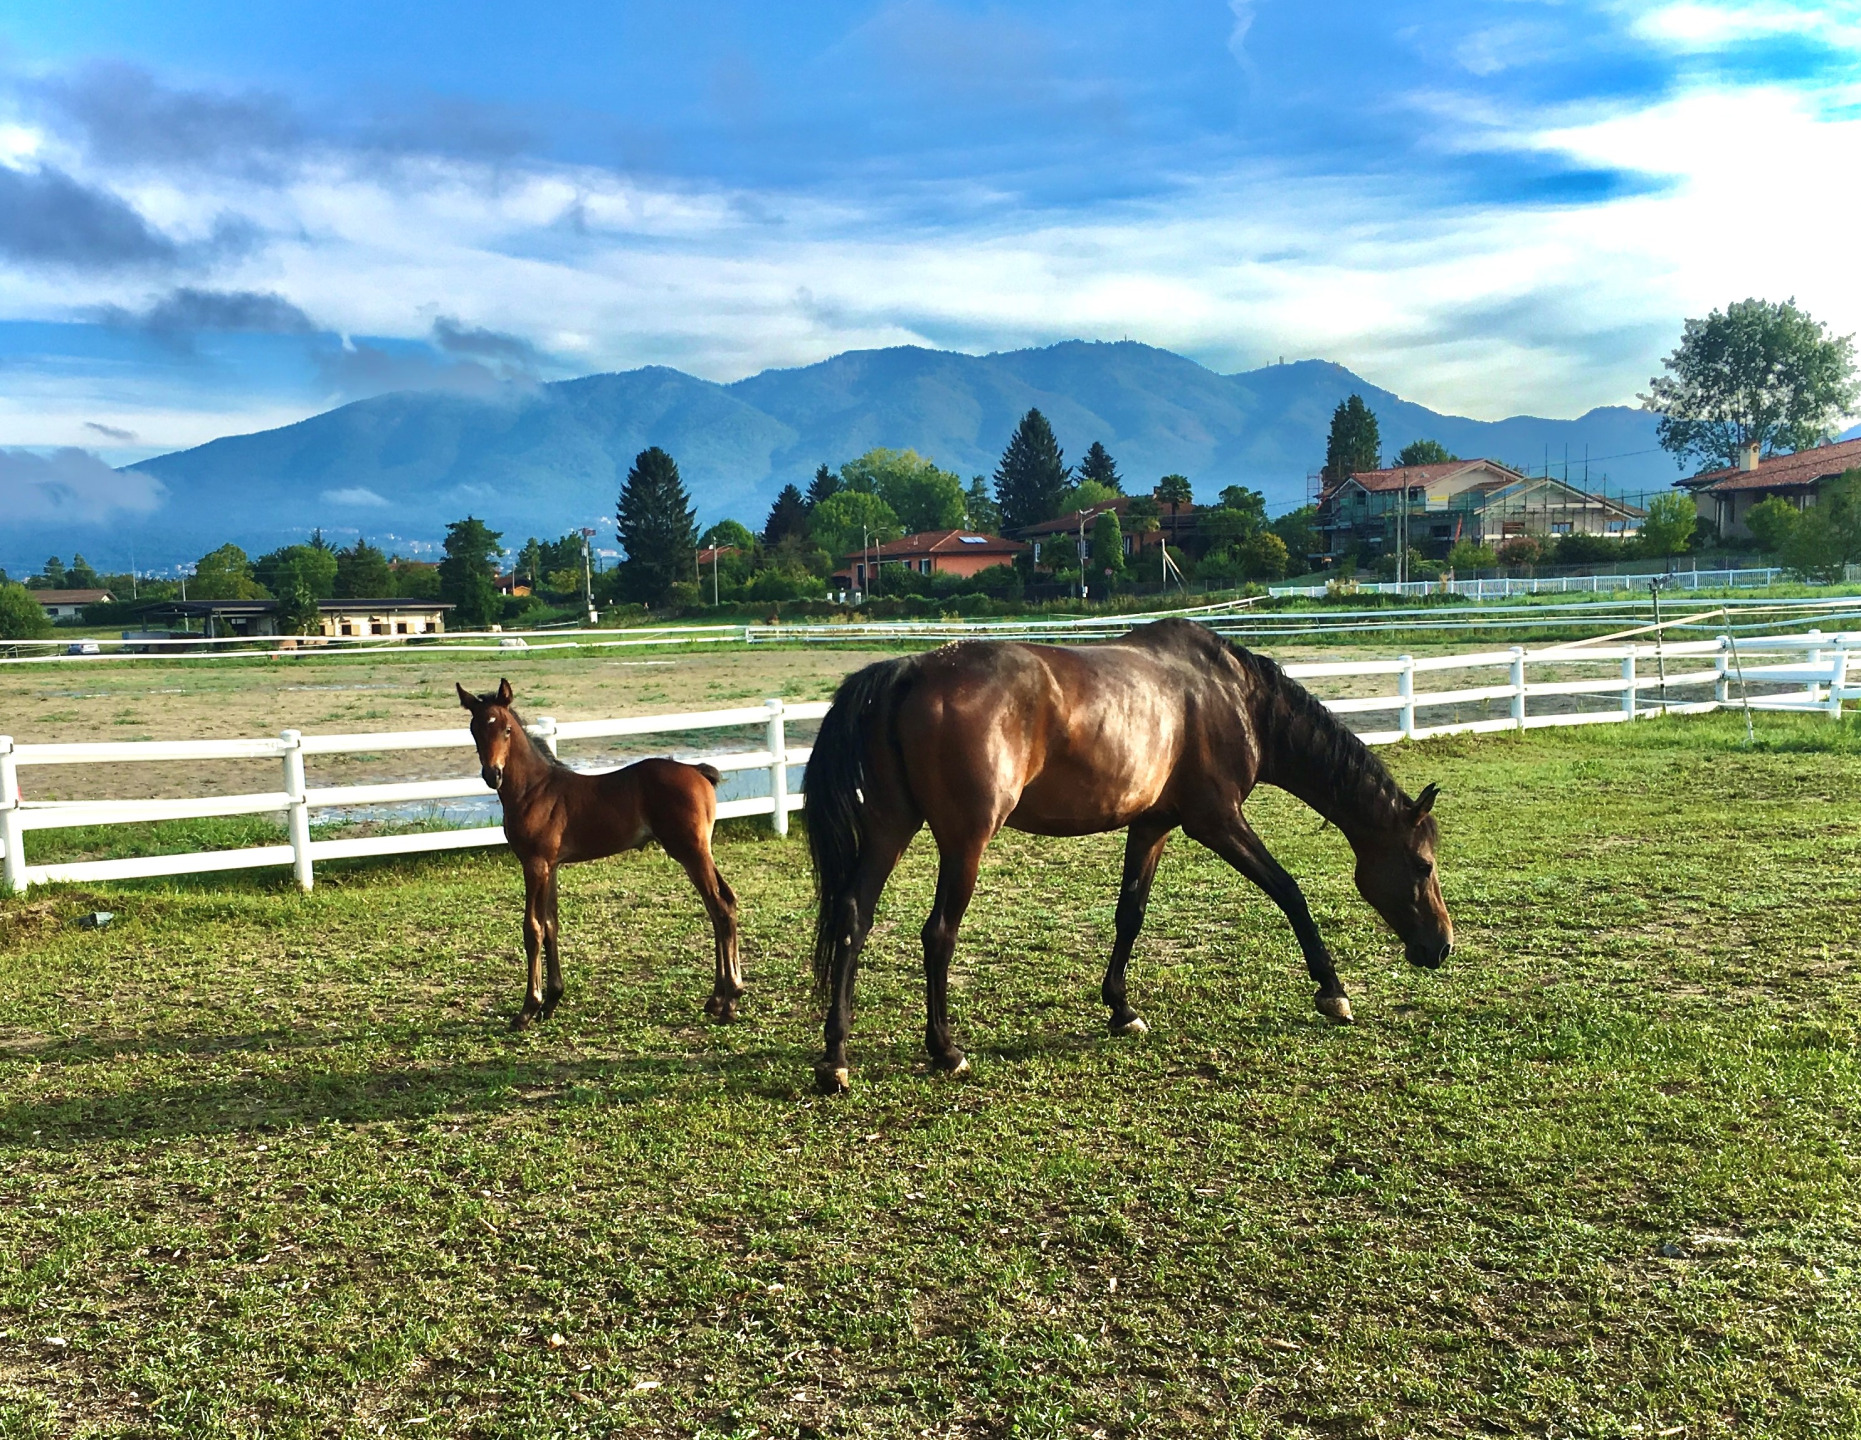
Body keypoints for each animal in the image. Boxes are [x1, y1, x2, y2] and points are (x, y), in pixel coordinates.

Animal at [457, 680, 740, 1034]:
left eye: (507, 729)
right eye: (475, 729)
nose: (492, 774)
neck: (534, 790)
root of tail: (697, 771)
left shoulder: (535, 864)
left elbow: (532, 928)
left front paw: (527, 1008)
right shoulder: (552, 866)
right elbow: (551, 924)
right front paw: (552, 1000)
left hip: (690, 851)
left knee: (720, 907)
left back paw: (730, 1002)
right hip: (699, 851)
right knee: (722, 905)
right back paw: (717, 998)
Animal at [807, 621, 1459, 1093]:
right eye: (1423, 865)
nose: (1441, 947)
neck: (1234, 695)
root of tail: (911, 670)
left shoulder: (1152, 825)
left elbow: (1131, 915)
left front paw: (1121, 1009)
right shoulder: (1216, 821)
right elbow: (1289, 891)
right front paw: (1332, 991)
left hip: (890, 829)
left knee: (853, 920)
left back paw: (835, 1056)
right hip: (965, 841)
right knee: (938, 933)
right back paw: (945, 1050)